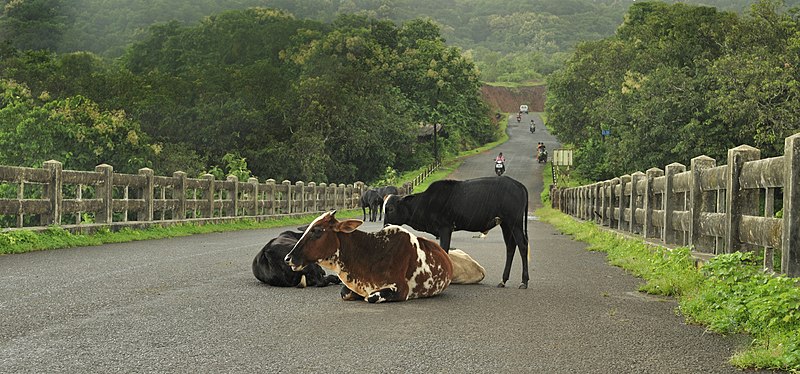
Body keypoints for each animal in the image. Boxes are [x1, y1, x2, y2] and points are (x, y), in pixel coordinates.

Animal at [382, 177, 532, 288]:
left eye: (390, 208)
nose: (385, 226)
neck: (426, 202)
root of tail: (518, 184)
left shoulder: (445, 228)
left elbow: (444, 250)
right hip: (506, 224)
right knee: (510, 247)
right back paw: (503, 280)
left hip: (515, 223)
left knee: (523, 246)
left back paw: (524, 281)